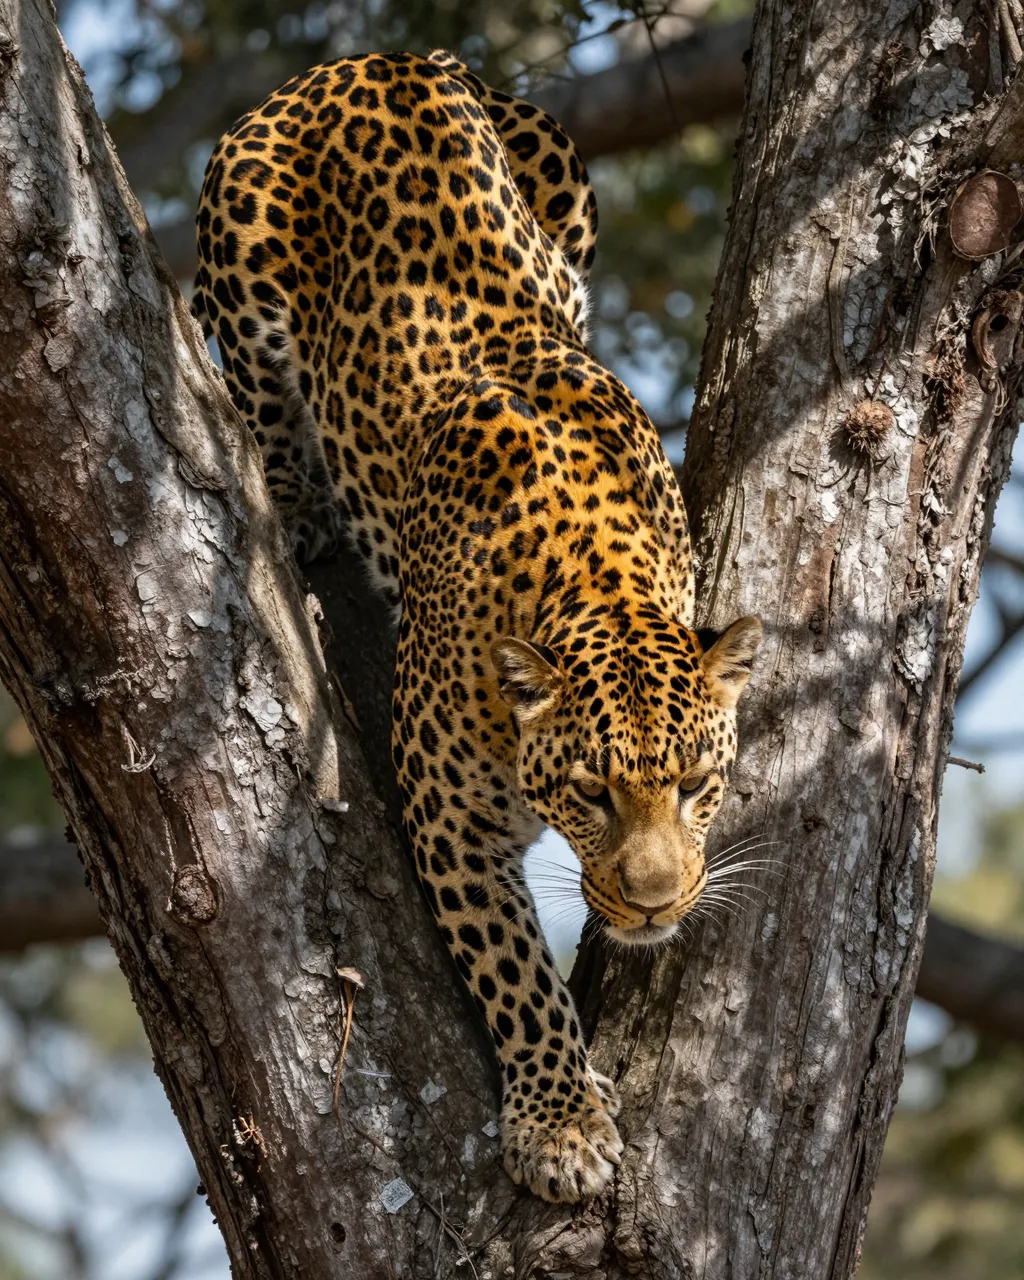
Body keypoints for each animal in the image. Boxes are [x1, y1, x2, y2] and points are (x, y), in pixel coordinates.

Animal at [194, 48, 761, 1204]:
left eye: (694, 784)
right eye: (591, 792)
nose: (651, 906)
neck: (601, 584)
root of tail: (370, 60)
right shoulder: (448, 817)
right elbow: (513, 970)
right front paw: (561, 1125)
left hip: (564, 179)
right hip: (243, 247)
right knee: (263, 399)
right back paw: (296, 500)